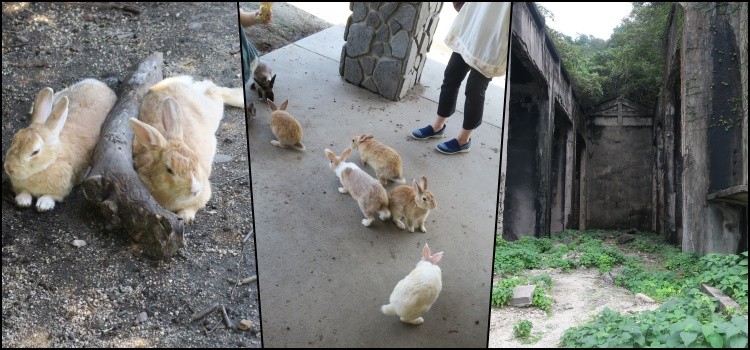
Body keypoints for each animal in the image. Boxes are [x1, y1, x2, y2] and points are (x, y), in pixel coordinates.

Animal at [2, 79, 117, 211]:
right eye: (14, 138)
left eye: (35, 152)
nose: (9, 168)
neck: (51, 161)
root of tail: (100, 84)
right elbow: (23, 192)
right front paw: (23, 201)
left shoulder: (62, 190)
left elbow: (51, 196)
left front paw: (43, 204)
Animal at [129, 76, 244, 224]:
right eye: (169, 170)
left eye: (196, 160)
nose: (195, 190)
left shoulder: (204, 193)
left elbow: (194, 206)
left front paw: (185, 217)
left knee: (214, 89)